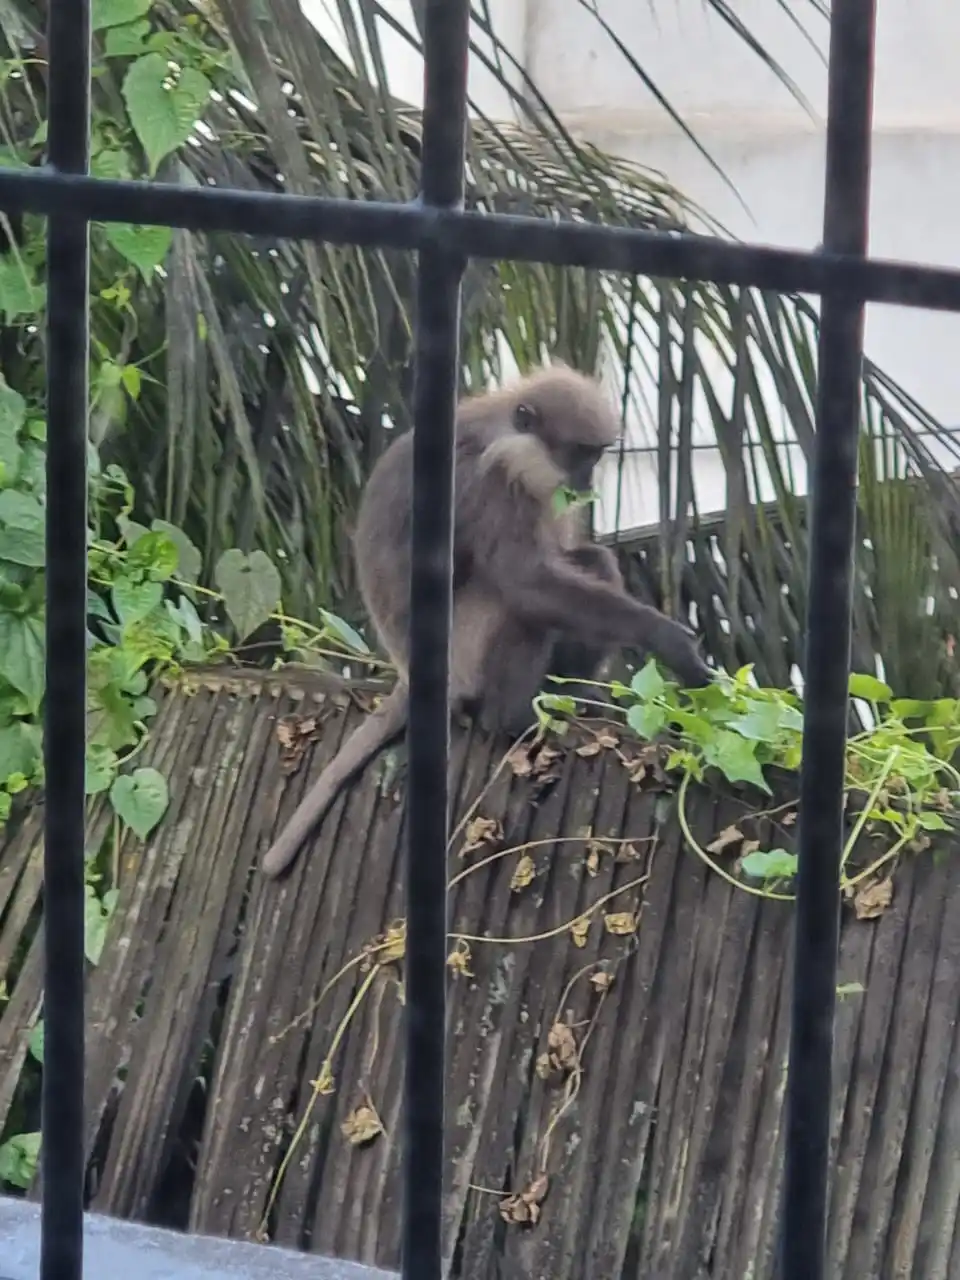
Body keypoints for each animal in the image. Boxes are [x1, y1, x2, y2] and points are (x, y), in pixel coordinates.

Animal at [259, 365, 713, 879]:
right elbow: (525, 583)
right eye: (578, 453)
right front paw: (669, 641)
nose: (584, 479)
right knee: (516, 604)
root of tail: (409, 674)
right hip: (463, 650)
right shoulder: (487, 481)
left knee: (593, 564)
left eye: (596, 455)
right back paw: (511, 718)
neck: (500, 437)